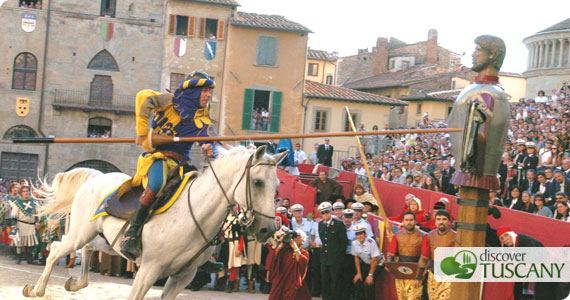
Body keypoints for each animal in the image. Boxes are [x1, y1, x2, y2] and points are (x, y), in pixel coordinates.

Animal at [23, 145, 284, 298]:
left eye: (277, 185)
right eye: (258, 182)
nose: (267, 229)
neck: (195, 214)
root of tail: (96, 177)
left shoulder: (182, 277)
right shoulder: (149, 270)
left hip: (105, 241)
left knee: (86, 249)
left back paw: (75, 284)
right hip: (80, 233)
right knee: (56, 249)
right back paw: (36, 289)